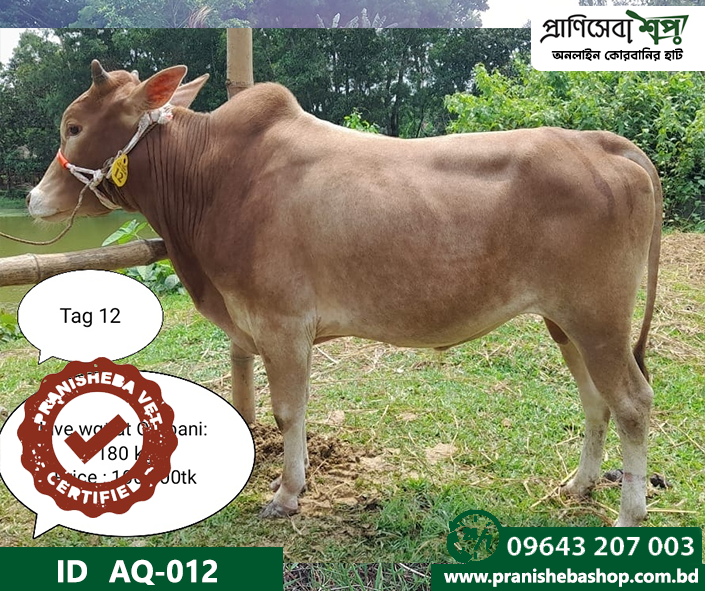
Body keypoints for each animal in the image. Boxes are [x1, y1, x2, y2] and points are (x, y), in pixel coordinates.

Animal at [27, 61, 661, 527]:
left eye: (74, 126)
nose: (33, 199)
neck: (212, 180)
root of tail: (604, 144)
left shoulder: (282, 323)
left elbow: (287, 411)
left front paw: (287, 494)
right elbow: (297, 408)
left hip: (598, 318)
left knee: (632, 402)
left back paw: (628, 515)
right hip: (566, 321)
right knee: (595, 400)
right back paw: (579, 485)